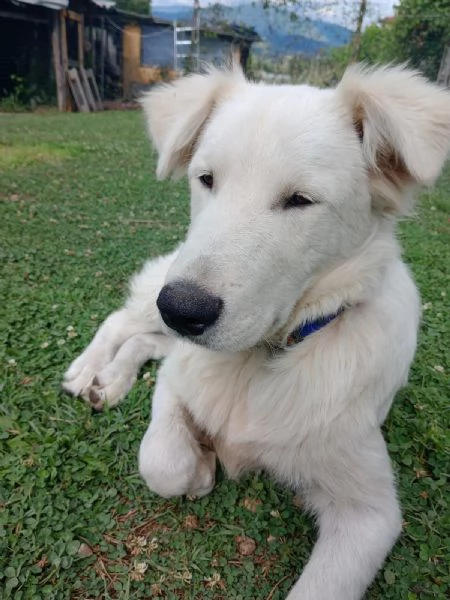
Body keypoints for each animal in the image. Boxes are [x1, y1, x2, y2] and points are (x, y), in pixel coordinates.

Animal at [63, 65, 450, 600]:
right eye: (206, 179)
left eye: (300, 200)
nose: (182, 309)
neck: (259, 361)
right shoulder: (177, 379)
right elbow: (159, 461)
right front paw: (198, 471)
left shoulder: (370, 514)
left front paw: (201, 466)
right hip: (160, 290)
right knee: (124, 319)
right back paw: (87, 372)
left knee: (145, 339)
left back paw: (110, 382)